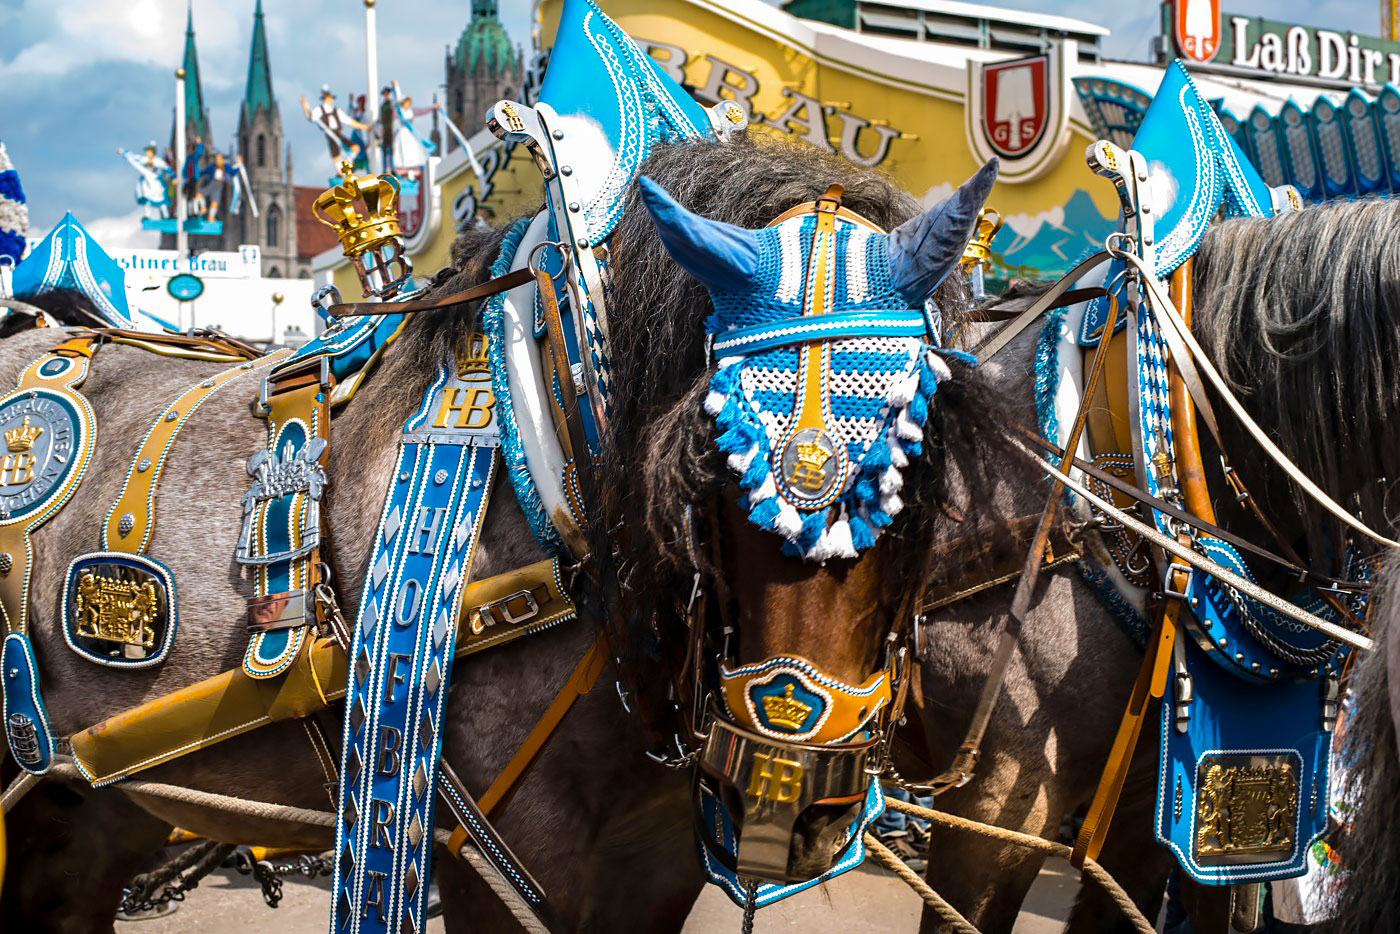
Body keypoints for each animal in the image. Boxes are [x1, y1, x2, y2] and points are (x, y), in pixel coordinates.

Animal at [0, 140, 1008, 934]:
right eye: (713, 455)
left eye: (916, 459)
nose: (786, 791)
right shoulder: (487, 856)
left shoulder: (651, 865)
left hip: (90, 796)